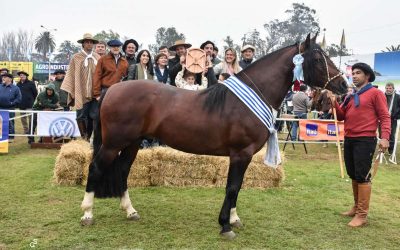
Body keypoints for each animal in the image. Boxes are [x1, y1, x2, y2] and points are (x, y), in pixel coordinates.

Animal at [80, 34, 346, 239]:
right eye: (317, 59)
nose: (344, 86)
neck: (247, 100)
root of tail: (112, 89)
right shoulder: (240, 154)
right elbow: (232, 187)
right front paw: (226, 225)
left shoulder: (245, 156)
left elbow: (237, 187)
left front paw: (234, 219)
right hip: (113, 144)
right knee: (95, 169)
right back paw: (87, 213)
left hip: (132, 144)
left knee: (123, 171)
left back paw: (130, 211)